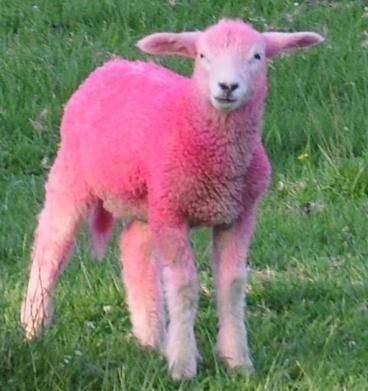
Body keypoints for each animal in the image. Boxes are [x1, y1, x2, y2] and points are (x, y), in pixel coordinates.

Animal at [21, 19, 324, 382]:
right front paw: (183, 364)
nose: (227, 86)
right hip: (72, 175)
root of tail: (113, 65)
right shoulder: (173, 213)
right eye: (203, 55)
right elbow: (183, 287)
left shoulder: (237, 216)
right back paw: (34, 326)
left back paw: (150, 337)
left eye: (257, 56)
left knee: (133, 248)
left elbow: (232, 284)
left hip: (147, 202)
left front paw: (237, 360)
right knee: (50, 245)